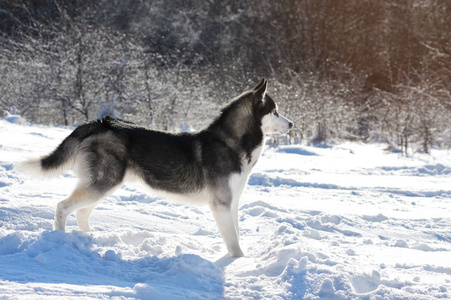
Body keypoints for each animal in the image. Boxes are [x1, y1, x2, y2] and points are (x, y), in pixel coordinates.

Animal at [16, 79, 294, 255]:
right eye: (275, 111)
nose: (292, 124)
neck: (230, 142)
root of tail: (102, 122)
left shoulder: (232, 203)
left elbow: (235, 234)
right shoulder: (221, 204)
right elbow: (234, 244)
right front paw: (237, 265)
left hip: (103, 185)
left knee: (82, 212)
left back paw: (89, 240)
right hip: (102, 183)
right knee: (63, 208)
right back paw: (61, 241)